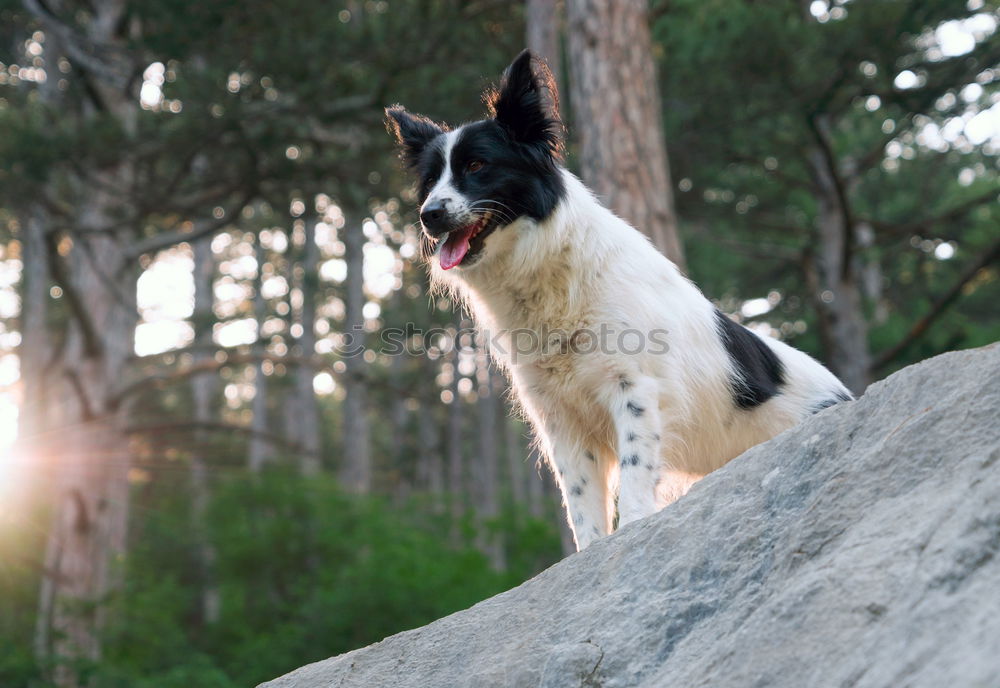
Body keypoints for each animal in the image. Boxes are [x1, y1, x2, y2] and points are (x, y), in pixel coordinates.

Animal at [386, 51, 848, 552]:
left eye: (476, 165)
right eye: (430, 180)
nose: (428, 215)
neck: (553, 271)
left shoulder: (636, 392)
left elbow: (633, 482)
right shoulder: (561, 419)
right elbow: (583, 509)